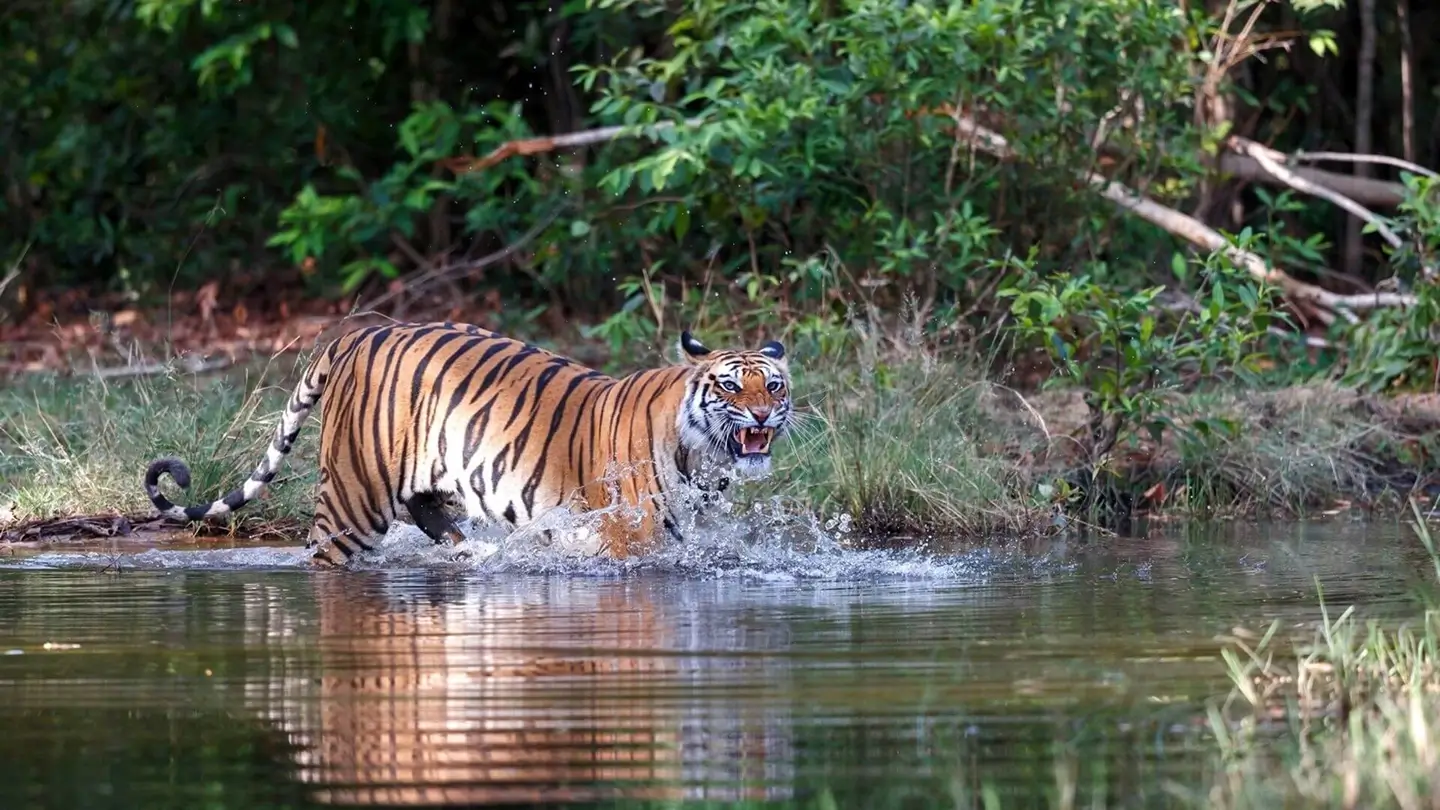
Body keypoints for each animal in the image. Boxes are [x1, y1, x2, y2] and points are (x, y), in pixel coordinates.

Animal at [142, 321, 793, 565]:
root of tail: (360, 332)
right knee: (327, 550)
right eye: (731, 386)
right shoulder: (630, 533)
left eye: (774, 384)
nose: (764, 413)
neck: (703, 456)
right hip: (353, 495)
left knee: (430, 514)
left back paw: (469, 551)